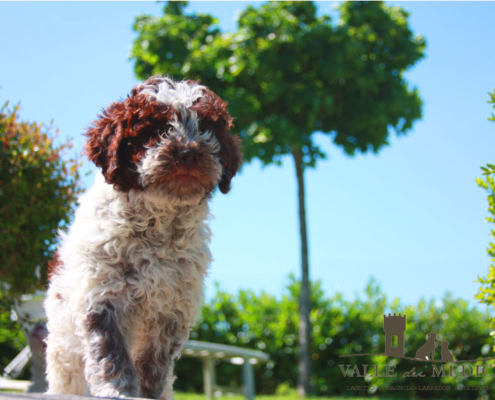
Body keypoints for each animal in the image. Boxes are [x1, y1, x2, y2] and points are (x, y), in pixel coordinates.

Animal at [44, 76, 242, 398]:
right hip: (63, 350)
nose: (189, 153)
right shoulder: (102, 296)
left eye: (207, 129)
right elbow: (110, 355)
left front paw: (149, 393)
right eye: (155, 130)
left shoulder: (172, 309)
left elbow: (154, 364)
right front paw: (118, 391)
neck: (156, 224)